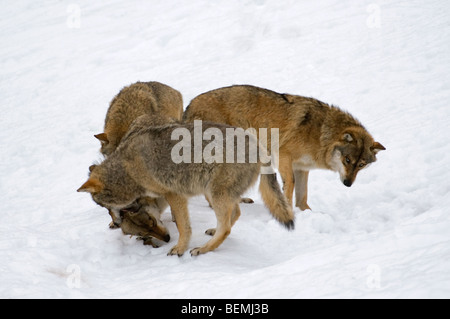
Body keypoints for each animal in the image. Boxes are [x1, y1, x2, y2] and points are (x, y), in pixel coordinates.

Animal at [78, 116, 296, 256]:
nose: (115, 223)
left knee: (226, 227)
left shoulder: (174, 195)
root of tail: (258, 146)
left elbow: (183, 227)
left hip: (216, 194)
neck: (127, 170)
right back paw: (211, 234)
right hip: (218, 193)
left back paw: (203, 249)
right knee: (235, 214)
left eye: (102, 205)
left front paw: (179, 249)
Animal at [184, 85, 386, 211]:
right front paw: (289, 209)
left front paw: (306, 212)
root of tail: (189, 105)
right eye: (347, 160)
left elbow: (303, 195)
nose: (348, 184)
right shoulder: (283, 155)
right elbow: (290, 185)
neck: (321, 134)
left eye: (361, 165)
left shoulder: (302, 168)